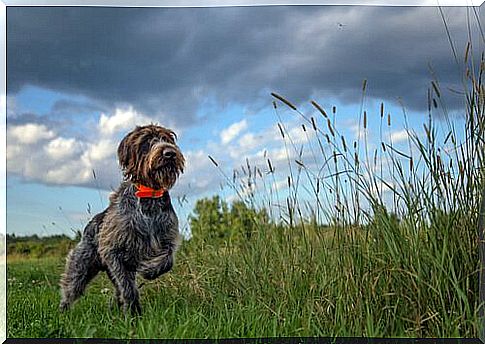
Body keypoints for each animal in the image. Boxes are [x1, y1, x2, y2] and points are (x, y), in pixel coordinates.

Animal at [57, 123, 185, 314]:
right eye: (146, 141)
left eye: (167, 140)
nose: (169, 153)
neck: (149, 195)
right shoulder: (113, 252)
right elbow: (127, 286)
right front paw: (133, 311)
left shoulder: (167, 237)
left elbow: (167, 259)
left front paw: (149, 269)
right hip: (81, 266)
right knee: (71, 288)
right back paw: (63, 312)